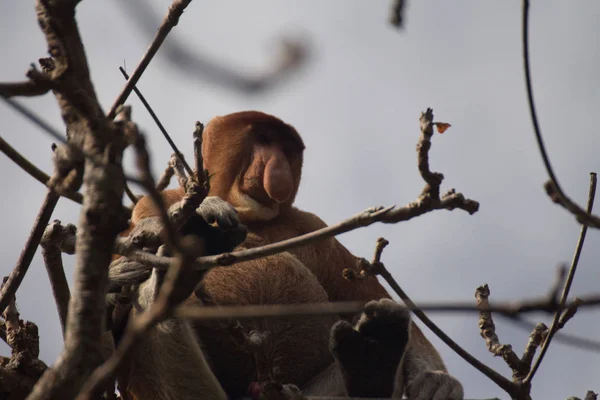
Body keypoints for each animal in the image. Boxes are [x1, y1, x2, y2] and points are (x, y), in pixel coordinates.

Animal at [119, 111, 462, 400]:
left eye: (286, 148)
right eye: (263, 138)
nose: (278, 164)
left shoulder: (314, 228)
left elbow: (365, 296)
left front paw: (437, 381)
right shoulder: (152, 202)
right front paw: (206, 209)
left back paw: (374, 362)